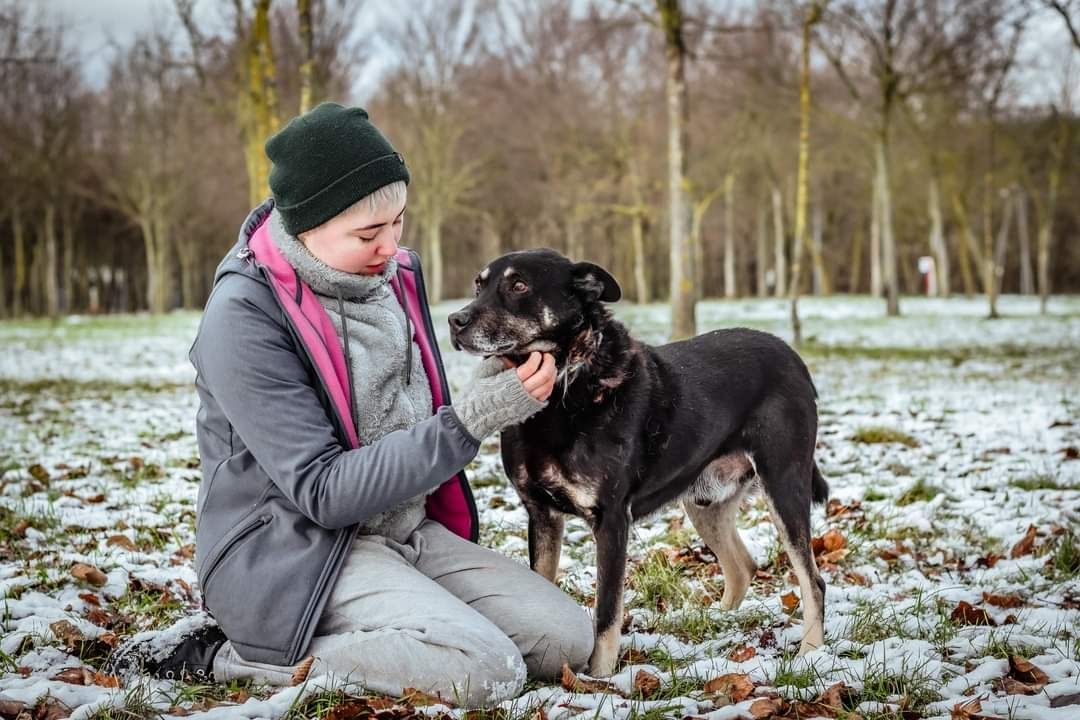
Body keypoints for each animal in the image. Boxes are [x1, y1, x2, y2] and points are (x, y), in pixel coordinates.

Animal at [447, 249, 825, 677]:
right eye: (479, 285)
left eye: (519, 285)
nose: (455, 321)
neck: (567, 390)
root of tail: (792, 356)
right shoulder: (541, 515)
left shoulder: (612, 520)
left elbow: (607, 612)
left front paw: (599, 679)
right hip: (705, 502)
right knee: (742, 566)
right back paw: (720, 625)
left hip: (783, 485)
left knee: (812, 580)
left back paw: (811, 654)